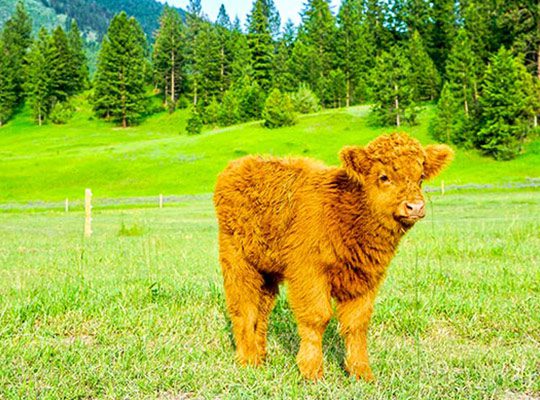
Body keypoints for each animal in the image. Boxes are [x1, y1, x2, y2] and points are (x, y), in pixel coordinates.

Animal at [213, 134, 454, 382]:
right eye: (384, 176)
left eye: (421, 177)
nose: (415, 206)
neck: (343, 212)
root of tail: (240, 165)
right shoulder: (308, 274)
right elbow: (316, 317)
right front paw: (311, 370)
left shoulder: (365, 279)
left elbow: (357, 324)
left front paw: (361, 371)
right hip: (237, 261)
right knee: (243, 308)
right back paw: (248, 359)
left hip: (266, 269)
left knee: (261, 310)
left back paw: (261, 355)